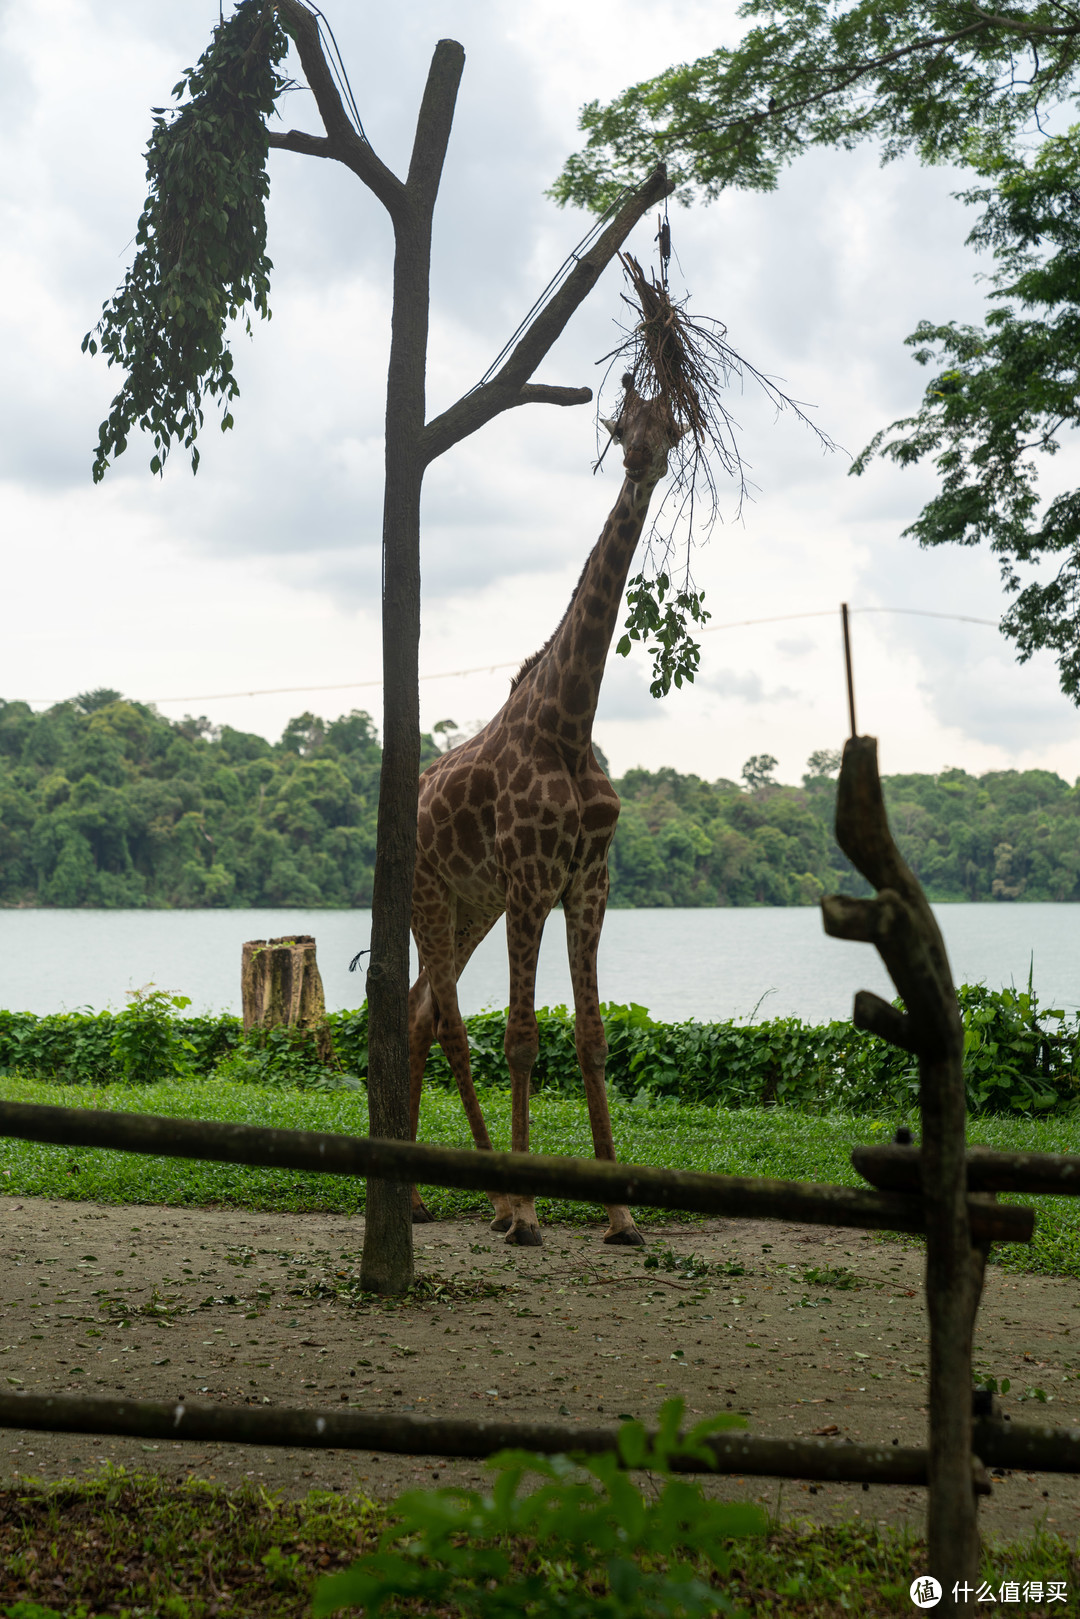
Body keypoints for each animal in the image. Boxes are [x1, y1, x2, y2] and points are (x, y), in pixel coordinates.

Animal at [404, 378, 683, 1249]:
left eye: (670, 425)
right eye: (622, 425)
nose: (642, 460)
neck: (569, 723)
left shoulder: (588, 882)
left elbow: (592, 1040)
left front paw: (621, 1212)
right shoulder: (531, 879)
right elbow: (521, 1038)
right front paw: (530, 1210)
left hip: (473, 907)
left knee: (419, 1013)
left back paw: (429, 1195)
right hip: (433, 897)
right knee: (448, 1025)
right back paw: (490, 1200)